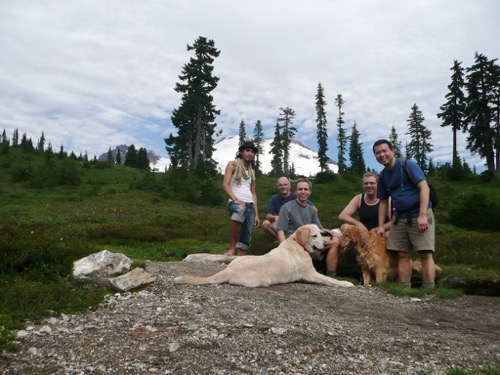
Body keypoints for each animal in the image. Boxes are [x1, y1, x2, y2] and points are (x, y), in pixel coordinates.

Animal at [174, 225, 354, 290]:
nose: (326, 244)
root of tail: (229, 271)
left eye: (320, 234)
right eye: (315, 235)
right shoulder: (311, 274)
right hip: (262, 281)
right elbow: (331, 280)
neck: (297, 243)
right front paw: (346, 283)